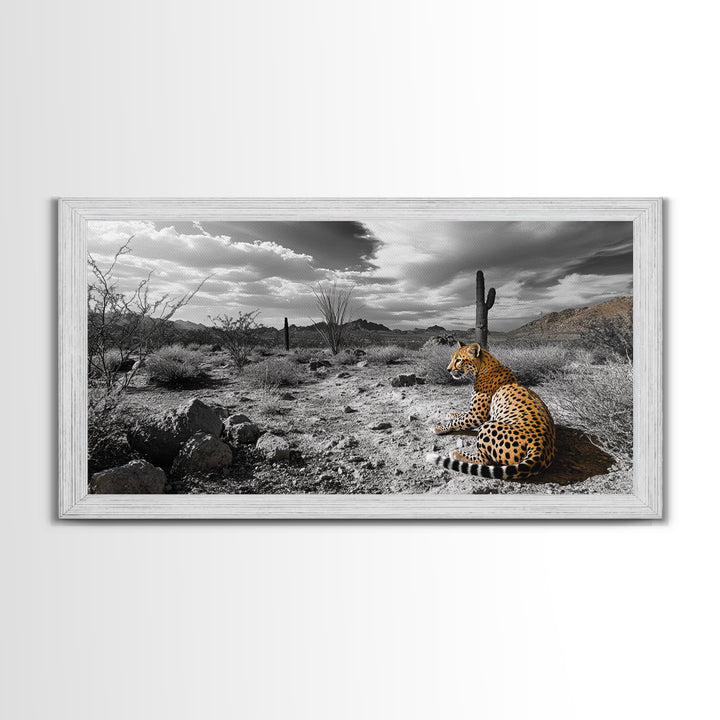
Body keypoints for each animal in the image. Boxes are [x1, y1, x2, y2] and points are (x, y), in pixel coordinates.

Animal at [425, 342, 556, 480]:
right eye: (452, 358)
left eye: (459, 360)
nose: (448, 370)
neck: (483, 367)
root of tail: (542, 445)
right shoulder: (479, 414)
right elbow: (461, 415)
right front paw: (451, 414)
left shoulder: (477, 416)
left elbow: (457, 422)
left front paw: (439, 428)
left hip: (488, 426)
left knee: (483, 460)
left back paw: (456, 453)